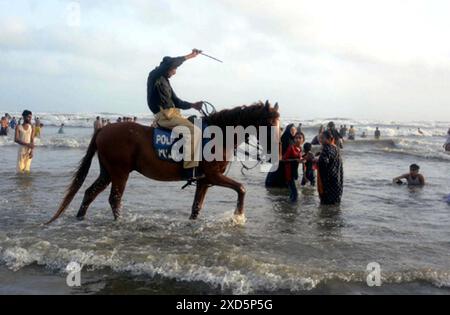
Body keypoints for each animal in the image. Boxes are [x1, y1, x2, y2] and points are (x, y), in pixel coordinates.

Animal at [45, 101, 278, 225]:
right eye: (268, 123)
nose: (275, 148)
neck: (218, 135)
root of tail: (104, 129)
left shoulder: (204, 181)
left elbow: (196, 208)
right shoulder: (213, 176)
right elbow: (242, 188)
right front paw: (238, 216)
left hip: (108, 173)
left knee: (89, 193)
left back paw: (80, 219)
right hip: (120, 173)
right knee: (114, 199)